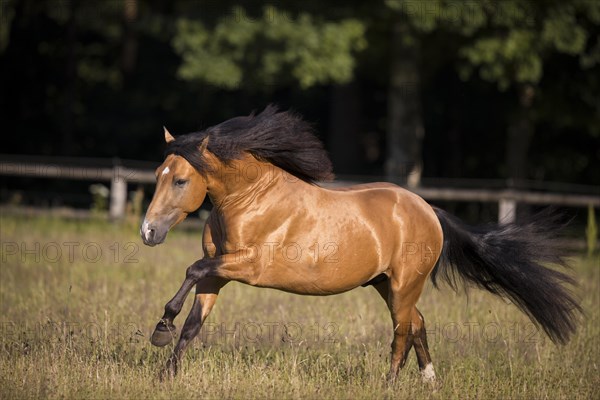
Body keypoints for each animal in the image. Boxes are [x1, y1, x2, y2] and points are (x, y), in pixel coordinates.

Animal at [141, 105, 580, 382]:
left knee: (403, 332)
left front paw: (161, 329)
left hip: (404, 285)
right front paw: (166, 372)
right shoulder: (220, 272)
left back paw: (389, 385)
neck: (252, 198)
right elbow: (194, 323)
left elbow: (191, 270)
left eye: (180, 180)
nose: (148, 232)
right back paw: (429, 382)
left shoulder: (249, 267)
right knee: (418, 324)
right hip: (387, 285)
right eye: (159, 173)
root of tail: (429, 211)